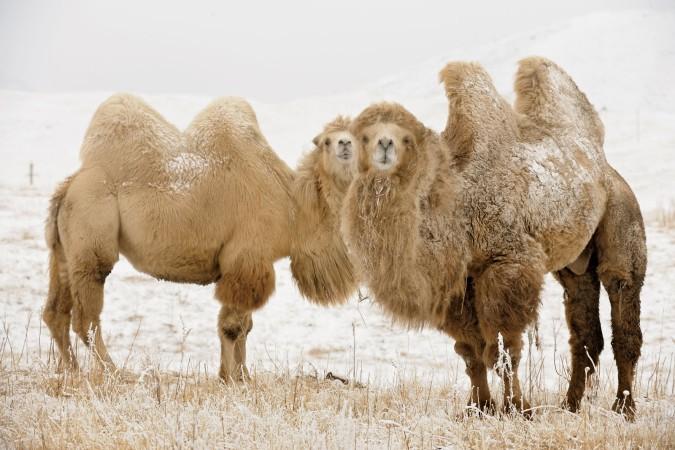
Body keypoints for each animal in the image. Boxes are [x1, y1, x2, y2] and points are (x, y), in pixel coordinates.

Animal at [42, 94, 358, 381]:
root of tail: (69, 186)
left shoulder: (247, 264)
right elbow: (233, 326)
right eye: (327, 141)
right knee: (86, 317)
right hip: (91, 233)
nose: (345, 145)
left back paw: (71, 371)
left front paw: (242, 376)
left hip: (65, 249)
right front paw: (231, 378)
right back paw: (116, 372)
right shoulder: (246, 259)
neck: (292, 207)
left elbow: (245, 326)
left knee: (56, 312)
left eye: (355, 136)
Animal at [341, 57, 646, 418]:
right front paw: (478, 408)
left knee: (622, 299)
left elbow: (504, 350)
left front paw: (519, 410)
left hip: (622, 216)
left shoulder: (506, 264)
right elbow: (471, 351)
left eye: (404, 139)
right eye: (363, 137)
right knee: (585, 330)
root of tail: (605, 166)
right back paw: (569, 406)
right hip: (576, 263)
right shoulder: (460, 282)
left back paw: (624, 408)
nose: (384, 146)